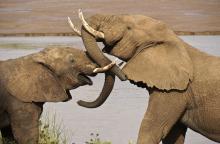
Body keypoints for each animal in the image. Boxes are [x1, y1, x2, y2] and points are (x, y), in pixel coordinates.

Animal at [70, 12, 220, 144]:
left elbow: (152, 128)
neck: (174, 39)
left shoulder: (175, 92)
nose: (78, 101)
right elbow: (173, 134)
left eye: (129, 28)